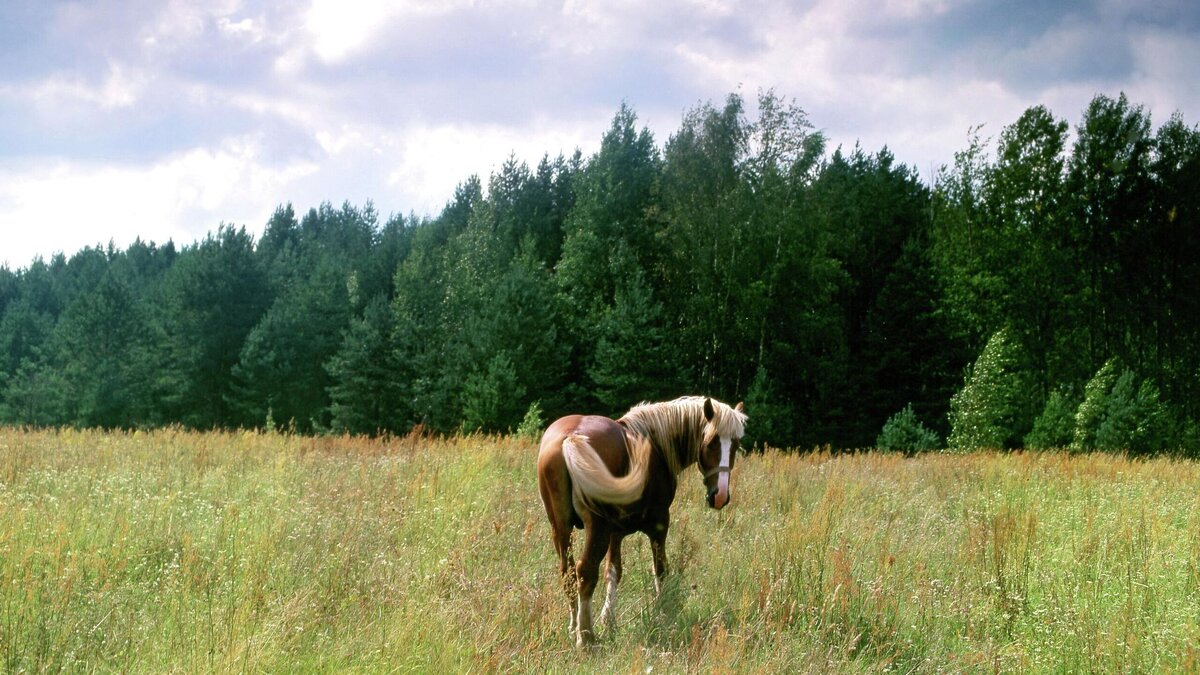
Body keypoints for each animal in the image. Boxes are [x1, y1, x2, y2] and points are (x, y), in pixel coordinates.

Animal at [537, 396, 744, 643]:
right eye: (711, 442)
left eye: (735, 444)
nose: (720, 495)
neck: (655, 443)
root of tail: (572, 437)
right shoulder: (659, 525)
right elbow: (660, 570)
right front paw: (662, 612)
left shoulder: (615, 534)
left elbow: (613, 572)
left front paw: (609, 620)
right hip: (596, 529)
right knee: (585, 572)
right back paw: (586, 638)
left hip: (560, 527)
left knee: (567, 573)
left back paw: (574, 627)